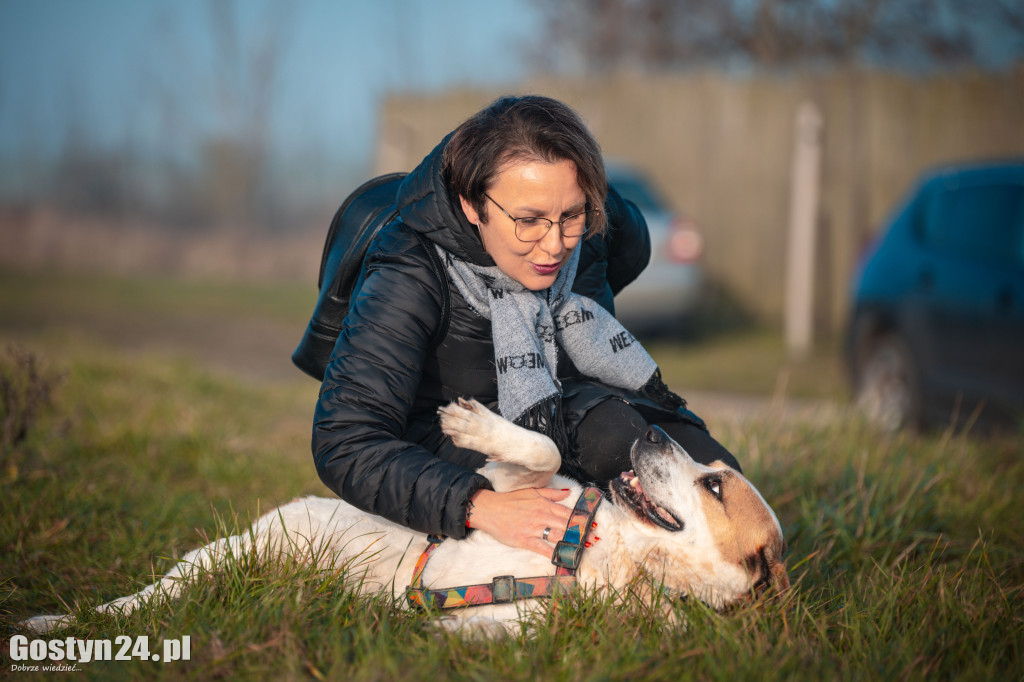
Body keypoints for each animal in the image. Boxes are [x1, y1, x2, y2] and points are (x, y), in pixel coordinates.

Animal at [22, 395, 790, 634]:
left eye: (714, 484)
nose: (652, 430)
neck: (619, 552)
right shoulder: (503, 484)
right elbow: (538, 448)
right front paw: (472, 421)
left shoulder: (515, 627)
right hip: (220, 556)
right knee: (139, 601)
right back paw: (57, 622)